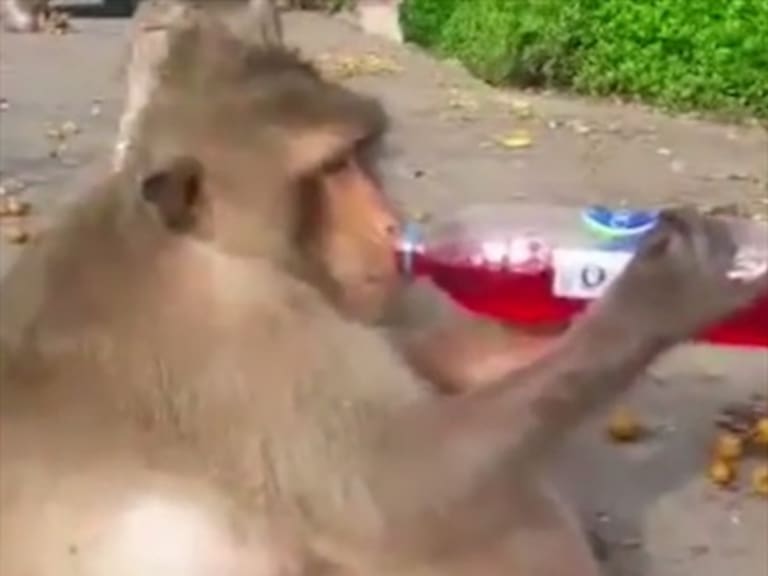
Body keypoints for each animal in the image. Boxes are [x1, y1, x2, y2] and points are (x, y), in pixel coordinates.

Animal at [2, 14, 767, 576]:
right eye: (329, 169)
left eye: (359, 155)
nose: (390, 226)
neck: (212, 244)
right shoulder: (239, 328)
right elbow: (395, 494)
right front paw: (663, 291)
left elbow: (454, 363)